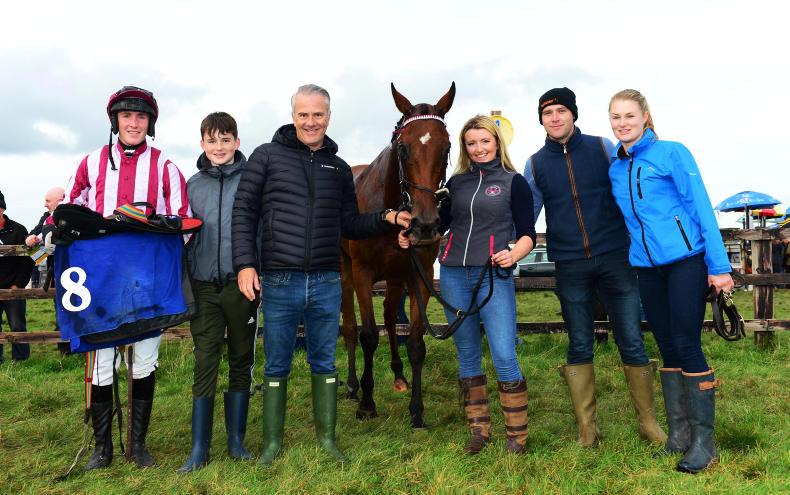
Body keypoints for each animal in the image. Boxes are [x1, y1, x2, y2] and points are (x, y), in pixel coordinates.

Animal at [340, 82, 455, 428]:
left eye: (446, 147)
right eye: (403, 148)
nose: (425, 225)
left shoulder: (419, 275)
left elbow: (415, 342)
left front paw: (417, 410)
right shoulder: (363, 274)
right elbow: (367, 335)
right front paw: (367, 403)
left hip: (394, 279)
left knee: (391, 316)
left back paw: (399, 376)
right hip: (345, 272)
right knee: (349, 327)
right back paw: (352, 386)